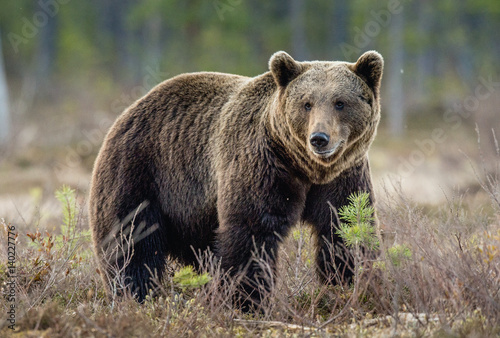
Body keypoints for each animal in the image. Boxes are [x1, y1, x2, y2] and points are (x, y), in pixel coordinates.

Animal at [89, 49, 382, 306]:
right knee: (130, 241)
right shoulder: (262, 165)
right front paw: (246, 300)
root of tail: (127, 112)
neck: (305, 168)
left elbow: (344, 225)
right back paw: (134, 294)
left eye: (340, 102)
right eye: (306, 103)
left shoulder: (343, 176)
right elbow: (251, 230)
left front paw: (352, 283)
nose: (319, 138)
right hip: (141, 173)